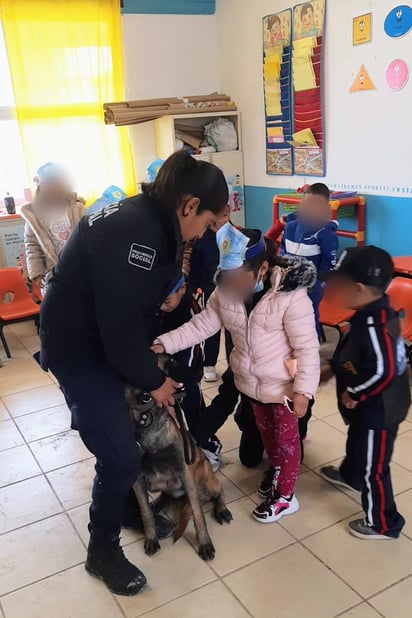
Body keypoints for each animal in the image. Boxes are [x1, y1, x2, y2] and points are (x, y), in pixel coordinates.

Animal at [125, 382, 233, 560]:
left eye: (146, 397)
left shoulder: (185, 472)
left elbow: (198, 513)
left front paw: (204, 543)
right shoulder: (137, 481)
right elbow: (145, 511)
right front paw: (151, 537)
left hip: (204, 475)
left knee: (218, 492)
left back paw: (222, 509)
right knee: (165, 495)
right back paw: (157, 502)